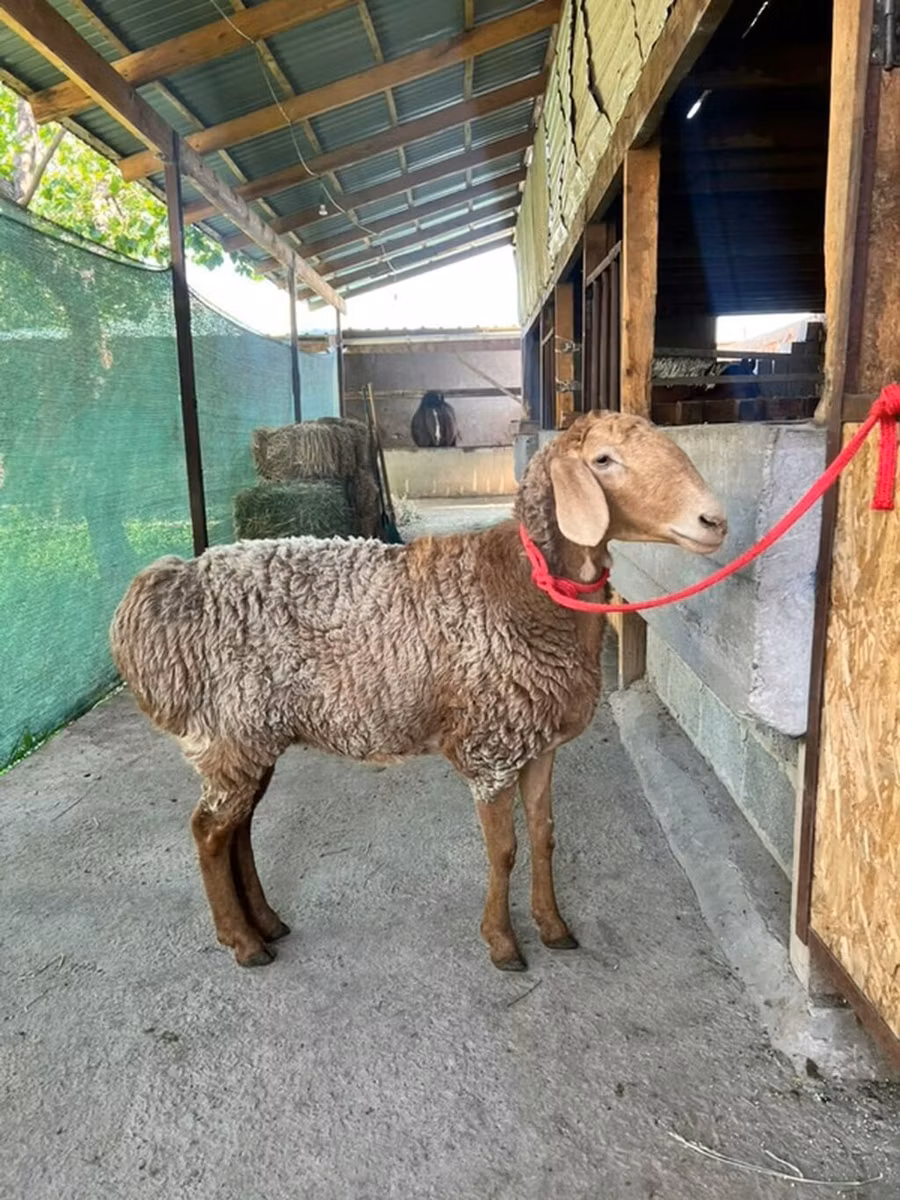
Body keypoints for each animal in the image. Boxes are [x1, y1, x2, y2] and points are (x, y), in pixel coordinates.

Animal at [110, 410, 726, 971]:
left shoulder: (540, 744)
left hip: (248, 739)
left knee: (237, 829)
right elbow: (504, 850)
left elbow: (545, 835)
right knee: (209, 832)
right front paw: (503, 944)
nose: (715, 521)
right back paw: (242, 944)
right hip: (230, 733)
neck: (528, 589)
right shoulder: (491, 745)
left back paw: (266, 924)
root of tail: (161, 597)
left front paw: (554, 927)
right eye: (603, 460)